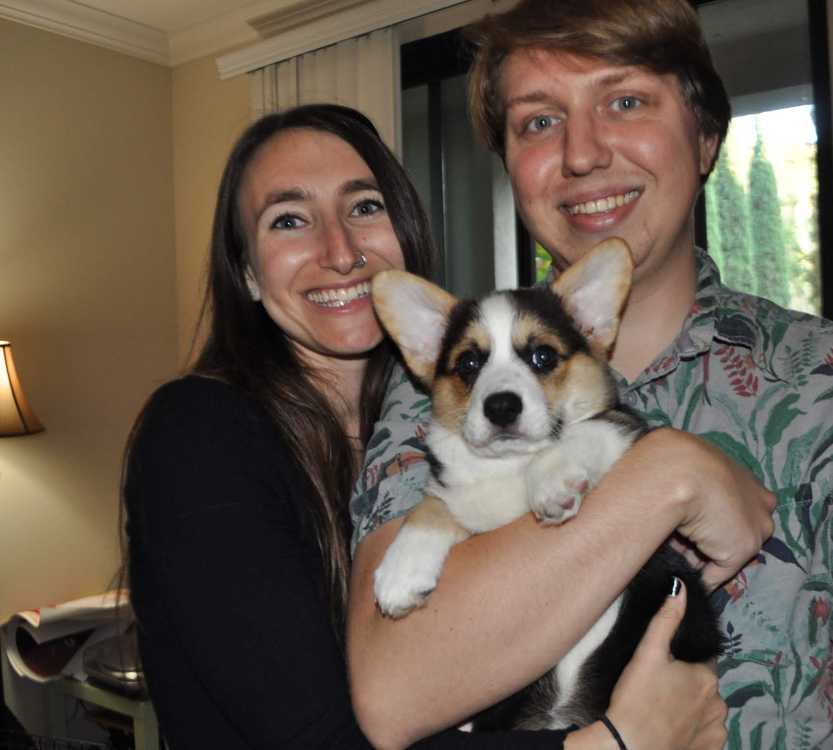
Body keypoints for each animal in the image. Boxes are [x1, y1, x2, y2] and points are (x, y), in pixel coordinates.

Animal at [370, 238, 720, 732]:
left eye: (543, 357)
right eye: (469, 363)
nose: (501, 406)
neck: (510, 467)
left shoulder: (627, 429)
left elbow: (584, 430)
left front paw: (553, 481)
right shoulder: (461, 499)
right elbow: (431, 507)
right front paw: (400, 573)